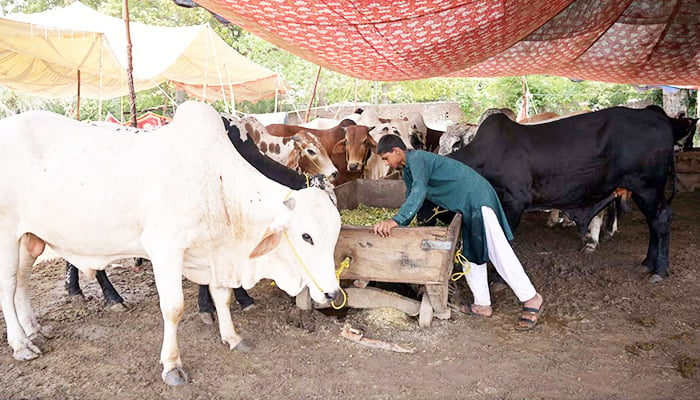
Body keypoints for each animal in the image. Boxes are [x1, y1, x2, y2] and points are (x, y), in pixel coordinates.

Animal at [418, 105, 676, 282]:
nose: (419, 220)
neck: (486, 155)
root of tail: (659, 120)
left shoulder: (515, 201)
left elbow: (505, 241)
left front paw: (499, 279)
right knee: (654, 222)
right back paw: (646, 263)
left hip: (647, 188)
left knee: (660, 220)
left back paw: (658, 270)